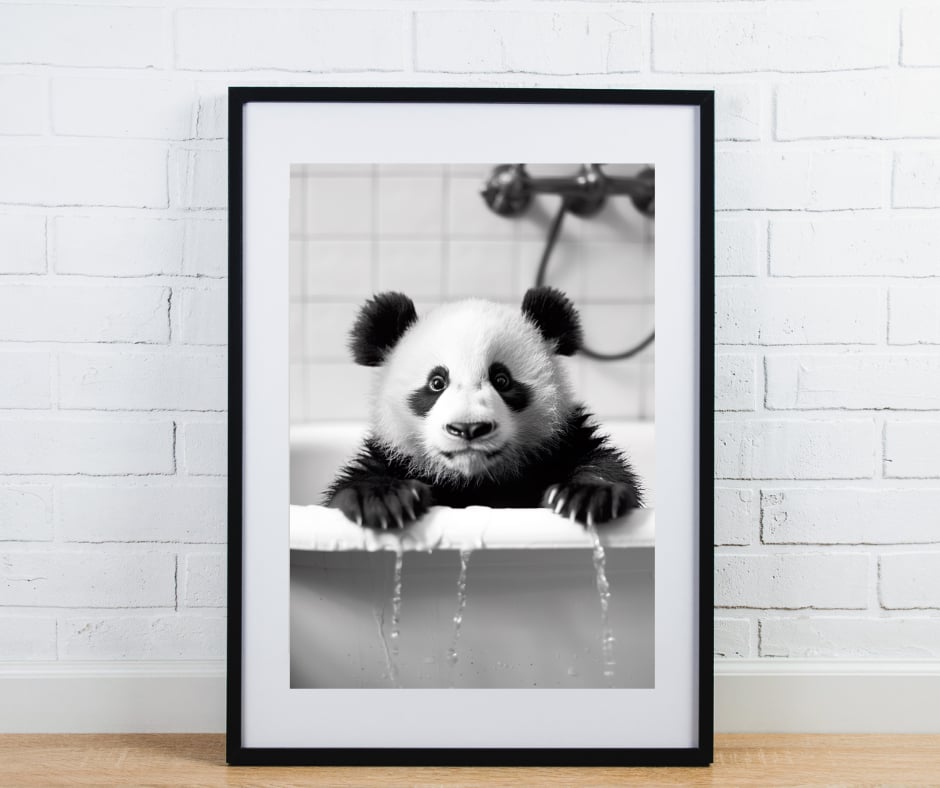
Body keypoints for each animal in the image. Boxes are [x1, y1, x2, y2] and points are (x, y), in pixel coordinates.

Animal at [324, 286, 643, 529]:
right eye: (437, 382)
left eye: (502, 379)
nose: (469, 428)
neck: (475, 481)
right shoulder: (393, 456)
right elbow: (356, 482)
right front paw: (382, 500)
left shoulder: (561, 443)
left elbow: (601, 463)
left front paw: (587, 496)